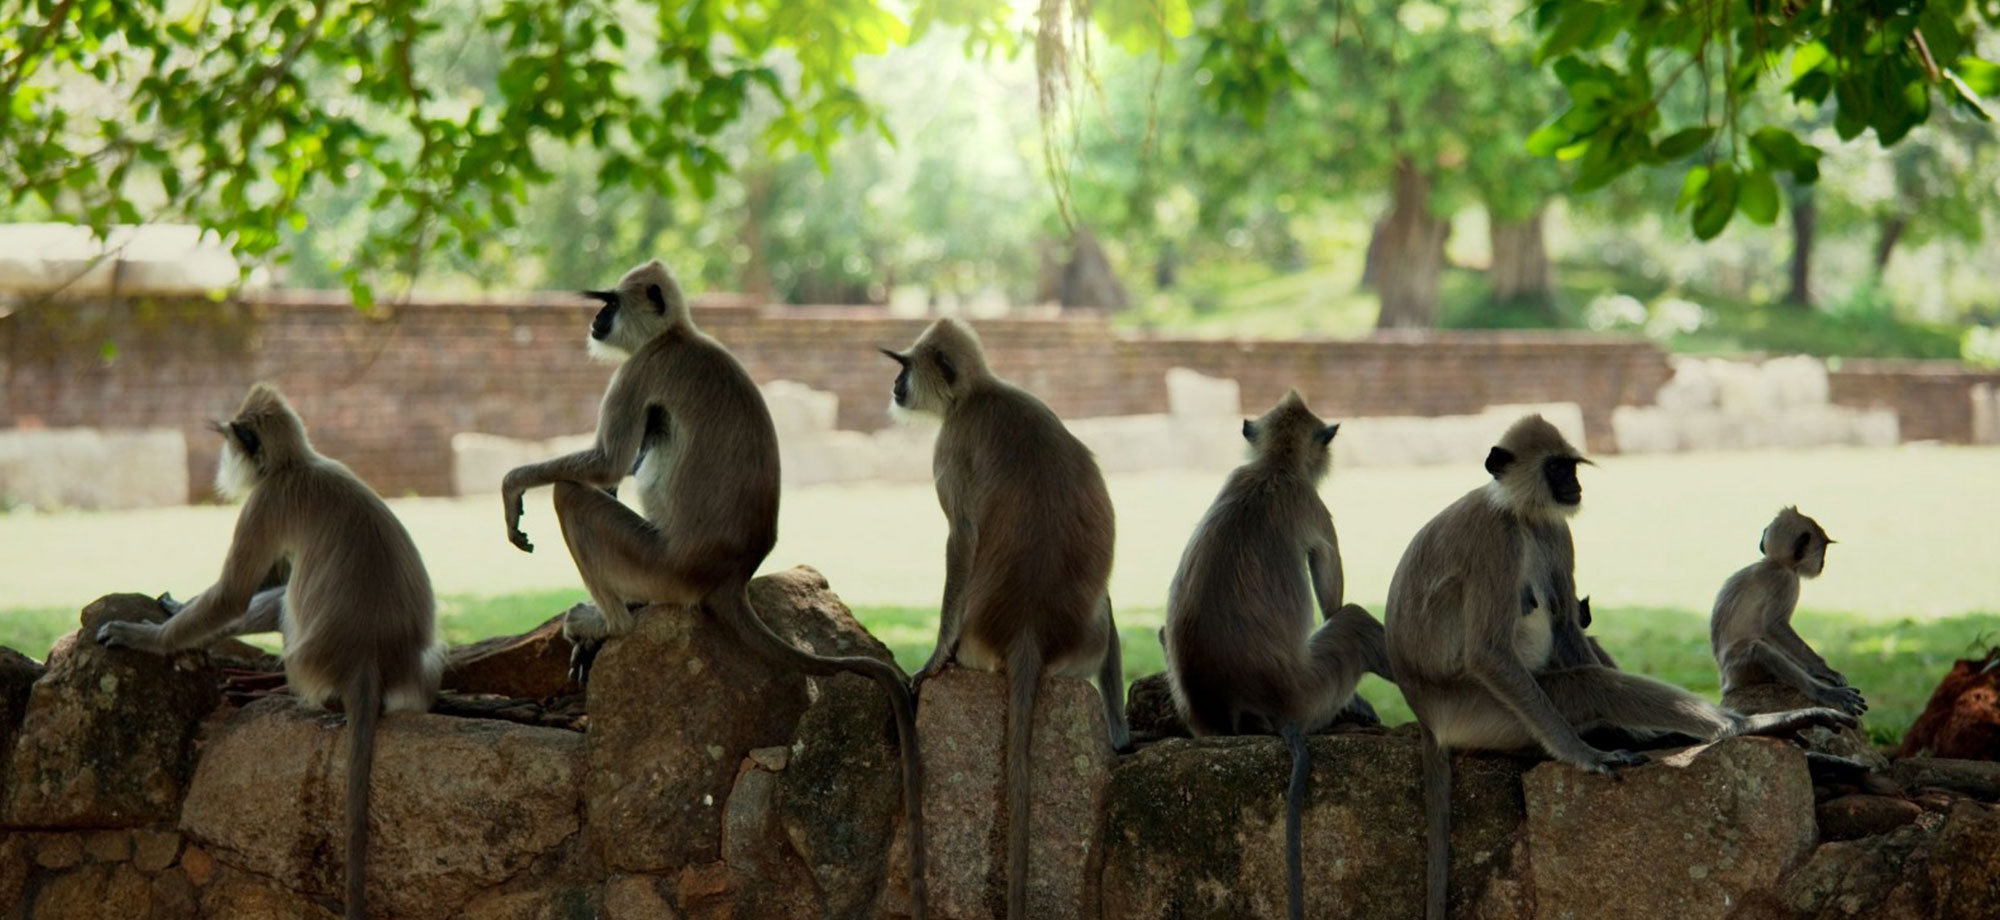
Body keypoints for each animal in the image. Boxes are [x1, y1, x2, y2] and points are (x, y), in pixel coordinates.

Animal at [97, 383, 444, 920]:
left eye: (231, 441)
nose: (222, 460)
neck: (298, 464)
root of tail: (368, 659)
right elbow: (265, 580)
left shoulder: (266, 501)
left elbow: (235, 594)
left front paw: (147, 636)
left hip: (308, 660)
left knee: (285, 600)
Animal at [498, 259, 930, 918]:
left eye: (608, 302)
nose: (595, 320)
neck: (679, 335)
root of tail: (730, 575)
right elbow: (614, 470)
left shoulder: (641, 368)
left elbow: (605, 464)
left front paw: (513, 485)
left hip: (657, 563)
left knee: (574, 493)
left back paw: (612, 623)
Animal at [882, 317, 1130, 920]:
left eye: (905, 366)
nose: (896, 386)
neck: (979, 393)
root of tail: (1027, 631)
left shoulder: (952, 444)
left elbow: (962, 538)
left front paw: (931, 661)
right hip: (1083, 639)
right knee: (1105, 605)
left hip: (977, 641)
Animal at [1161, 392, 1394, 920]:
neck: (1273, 468)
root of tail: (1252, 704)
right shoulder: (1311, 503)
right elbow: (1332, 597)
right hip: (1312, 691)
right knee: (1354, 621)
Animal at [1710, 508, 1866, 716]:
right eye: (1823, 549)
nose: (1823, 563)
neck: (1776, 563)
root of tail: (1725, 681)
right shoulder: (1786, 581)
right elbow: (1774, 626)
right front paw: (1824, 670)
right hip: (1740, 668)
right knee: (1761, 650)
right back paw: (1824, 693)